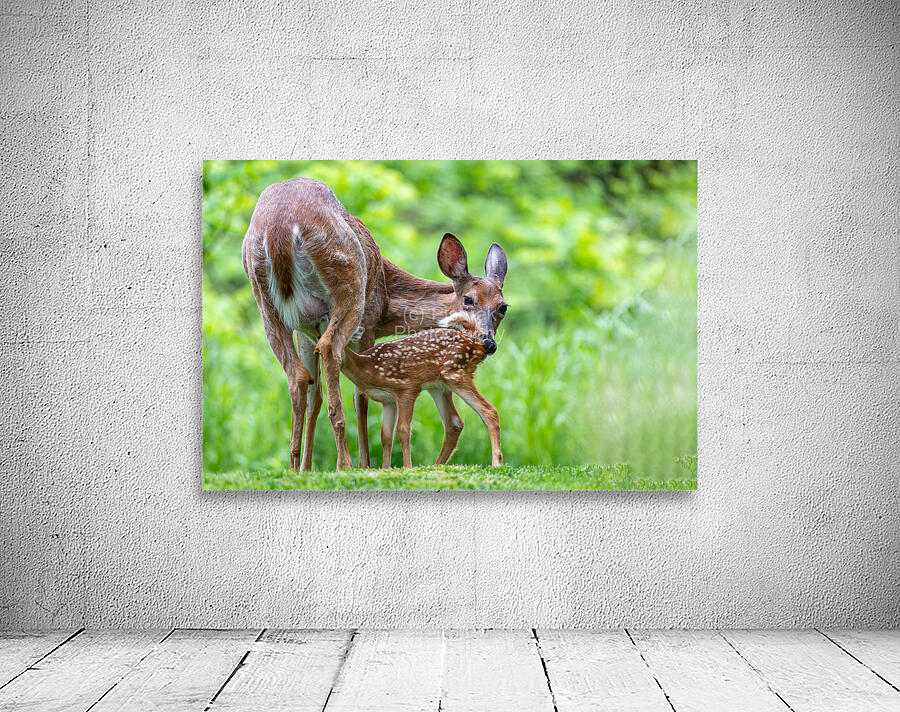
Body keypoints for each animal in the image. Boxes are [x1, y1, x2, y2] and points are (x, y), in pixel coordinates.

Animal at [340, 311, 503, 468]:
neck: (368, 367)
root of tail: (476, 342)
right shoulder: (388, 401)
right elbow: (385, 436)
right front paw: (385, 469)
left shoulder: (407, 388)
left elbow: (403, 429)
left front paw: (407, 467)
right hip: (439, 387)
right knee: (454, 423)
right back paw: (436, 465)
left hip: (455, 372)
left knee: (489, 411)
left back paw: (496, 464)